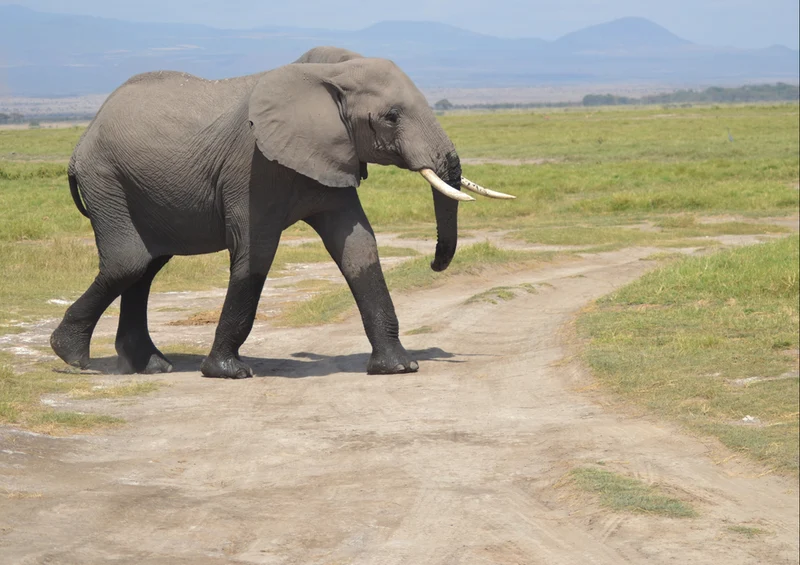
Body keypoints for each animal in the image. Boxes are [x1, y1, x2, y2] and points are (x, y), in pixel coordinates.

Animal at [50, 46, 514, 379]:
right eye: (391, 117)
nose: (436, 264)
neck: (330, 73)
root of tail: (82, 140)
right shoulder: (251, 166)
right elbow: (255, 252)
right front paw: (228, 372)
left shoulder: (332, 156)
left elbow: (358, 247)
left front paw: (399, 368)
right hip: (107, 180)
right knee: (130, 264)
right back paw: (73, 359)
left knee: (146, 267)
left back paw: (150, 366)